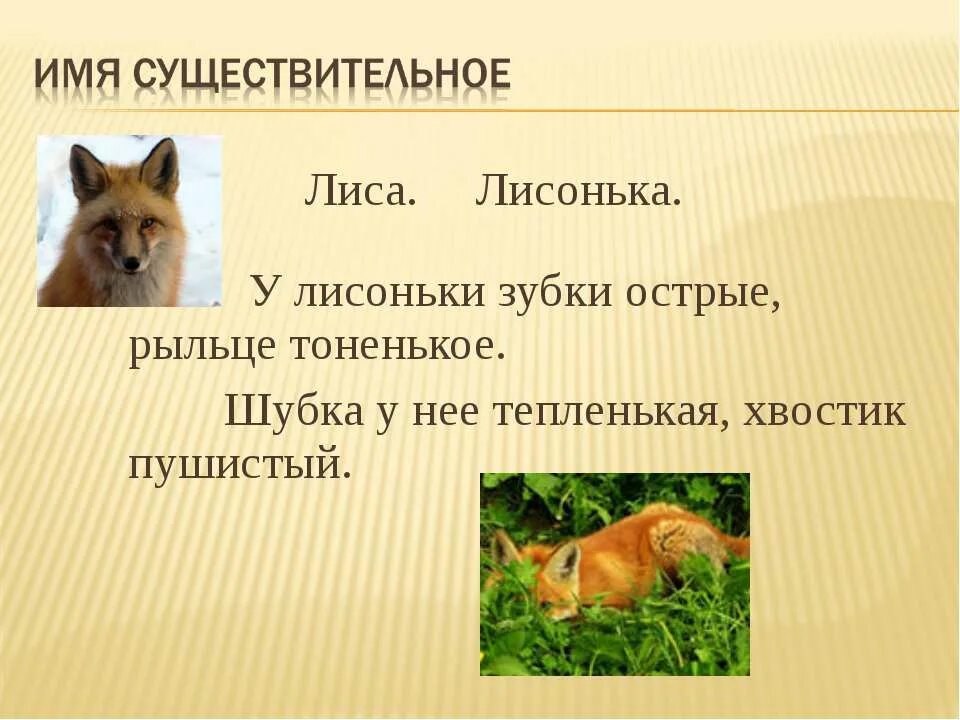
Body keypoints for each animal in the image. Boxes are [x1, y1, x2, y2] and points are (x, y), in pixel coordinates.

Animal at [488, 503, 750, 619]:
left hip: (666, 541)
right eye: (512, 601)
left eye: (545, 605)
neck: (581, 584)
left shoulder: (615, 603)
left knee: (716, 591)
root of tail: (714, 528)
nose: (522, 625)